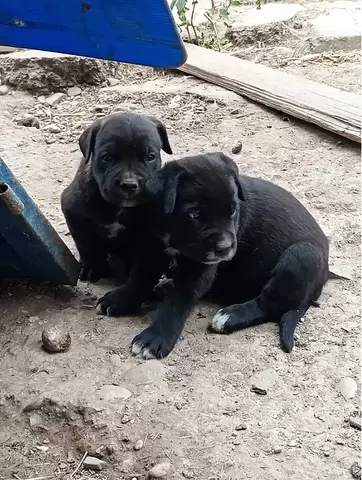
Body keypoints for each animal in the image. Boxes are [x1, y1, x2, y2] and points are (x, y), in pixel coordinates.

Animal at [60, 113, 173, 284]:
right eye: (107, 157)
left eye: (150, 157)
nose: (129, 184)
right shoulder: (75, 217)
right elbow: (88, 246)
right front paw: (93, 267)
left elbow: (139, 256)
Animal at [96, 152, 328, 358]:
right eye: (195, 213)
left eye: (233, 210)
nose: (225, 248)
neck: (175, 233)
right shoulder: (152, 246)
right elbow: (139, 277)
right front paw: (120, 298)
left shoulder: (201, 267)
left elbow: (177, 303)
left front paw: (156, 337)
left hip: (302, 256)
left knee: (271, 303)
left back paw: (230, 316)